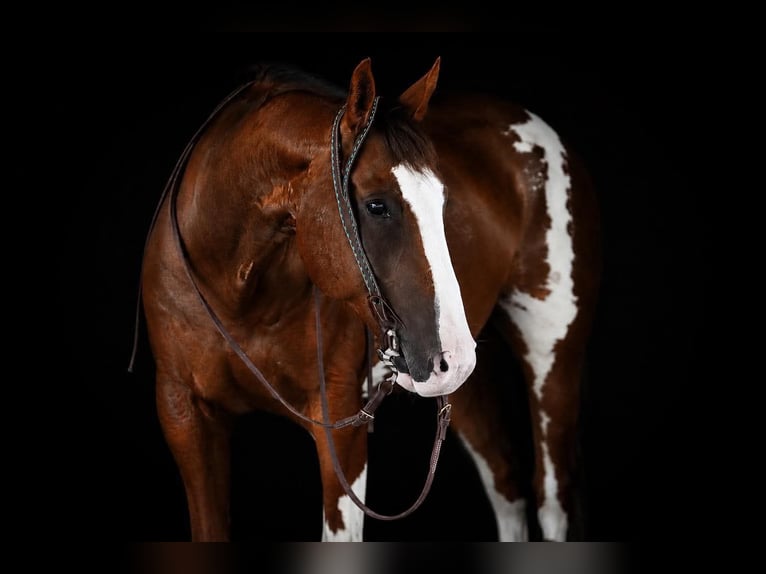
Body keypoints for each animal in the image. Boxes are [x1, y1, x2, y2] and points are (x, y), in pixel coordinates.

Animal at [133, 57, 600, 542]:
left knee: (552, 497)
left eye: (443, 201)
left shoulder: (340, 426)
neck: (235, 293)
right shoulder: (186, 418)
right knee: (506, 483)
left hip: (550, 360)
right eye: (377, 206)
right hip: (466, 383)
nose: (451, 354)